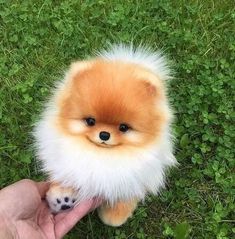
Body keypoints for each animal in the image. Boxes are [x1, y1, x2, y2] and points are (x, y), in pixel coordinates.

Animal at [33, 44, 176, 226]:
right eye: (90, 121)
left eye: (123, 127)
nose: (104, 134)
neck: (101, 154)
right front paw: (61, 198)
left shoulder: (134, 176)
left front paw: (114, 216)